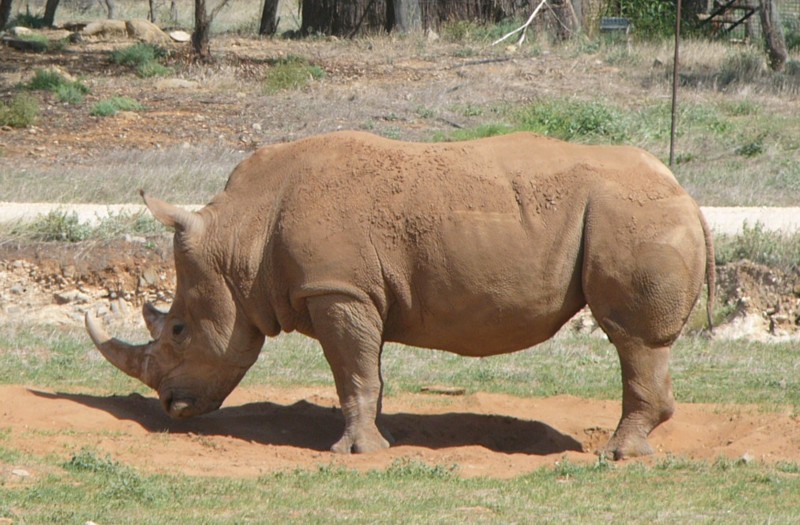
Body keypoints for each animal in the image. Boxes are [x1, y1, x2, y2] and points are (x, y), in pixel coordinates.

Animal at [86, 131, 712, 458]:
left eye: (178, 330)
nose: (171, 408)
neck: (241, 236)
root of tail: (684, 190)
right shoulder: (356, 293)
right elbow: (366, 371)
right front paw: (378, 441)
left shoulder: (336, 289)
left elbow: (352, 372)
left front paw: (354, 454)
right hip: (638, 215)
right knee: (638, 343)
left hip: (633, 216)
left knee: (631, 338)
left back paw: (617, 457)